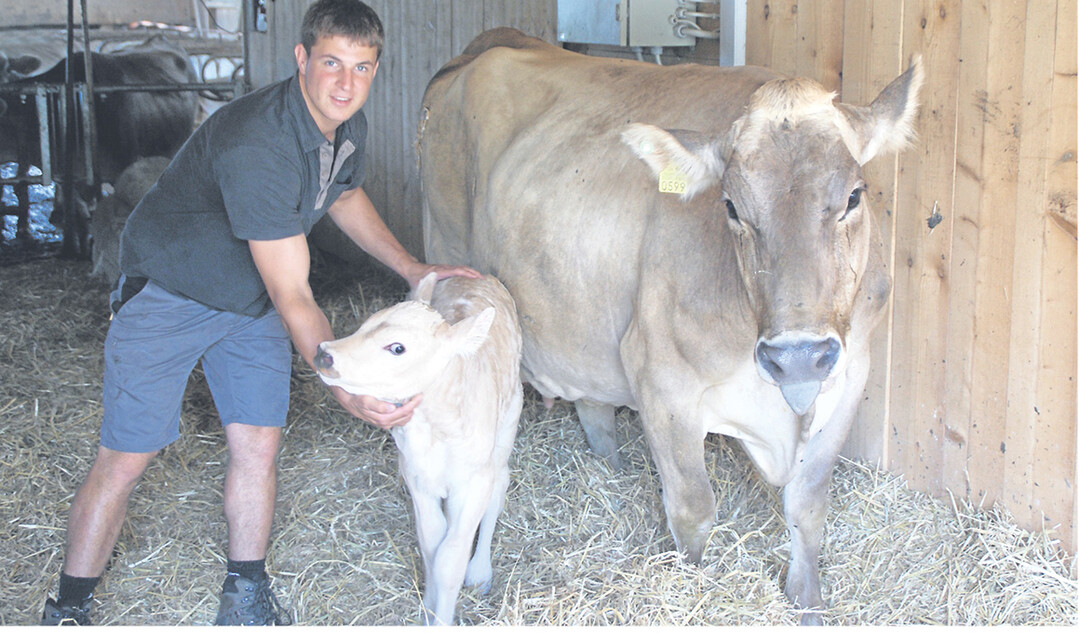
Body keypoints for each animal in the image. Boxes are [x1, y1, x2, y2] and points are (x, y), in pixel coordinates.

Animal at [314, 273, 524, 625]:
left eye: (397, 347)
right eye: (364, 324)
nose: (324, 354)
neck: (434, 428)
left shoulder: (473, 482)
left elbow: (450, 558)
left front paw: (443, 617)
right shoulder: (416, 476)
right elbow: (431, 542)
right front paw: (429, 606)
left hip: (507, 423)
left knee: (499, 487)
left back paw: (480, 572)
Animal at [417, 28, 923, 624]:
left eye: (853, 195)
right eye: (730, 207)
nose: (797, 357)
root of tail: (493, 42)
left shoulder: (850, 375)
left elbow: (809, 505)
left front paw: (808, 605)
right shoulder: (660, 379)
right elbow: (692, 509)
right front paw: (693, 585)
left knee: (594, 406)